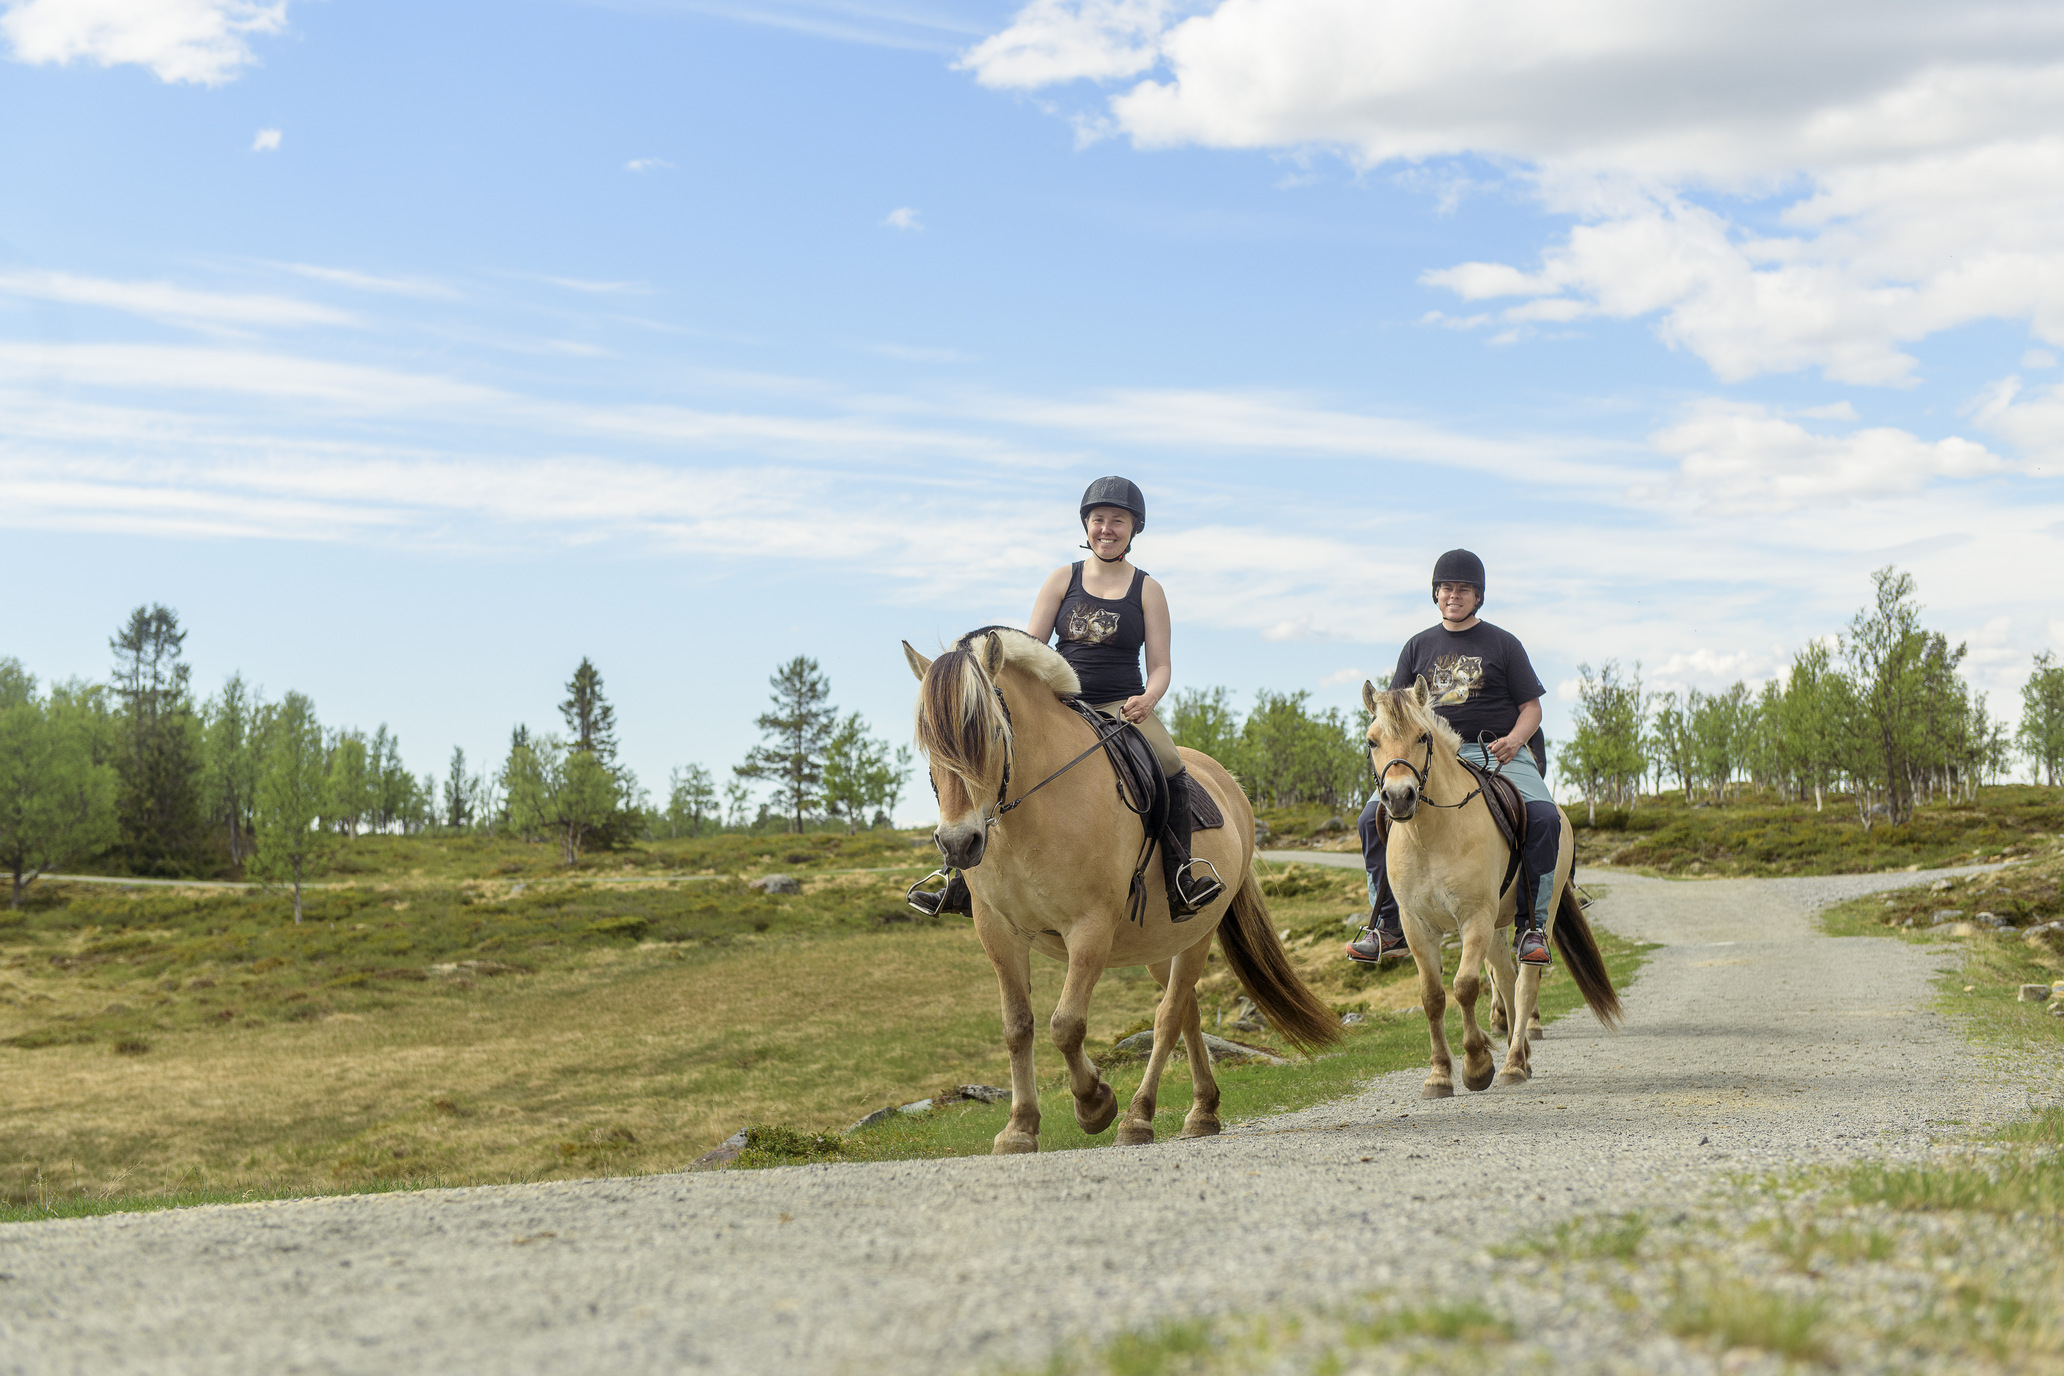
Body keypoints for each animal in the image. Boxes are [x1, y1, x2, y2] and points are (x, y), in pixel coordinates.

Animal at [908, 631, 1337, 1147]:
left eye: (992, 732)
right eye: (928, 743)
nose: (958, 844)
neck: (1030, 812)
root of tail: (1232, 786)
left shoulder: (1090, 927)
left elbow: (1066, 1025)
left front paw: (1095, 1103)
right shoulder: (998, 931)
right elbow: (1018, 1027)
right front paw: (1019, 1128)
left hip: (1197, 934)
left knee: (1169, 1016)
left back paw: (1138, 1116)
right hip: (1159, 945)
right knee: (1188, 1011)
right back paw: (1203, 1110)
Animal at [1362, 684, 1618, 1105]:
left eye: (1423, 737)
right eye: (1372, 741)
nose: (1399, 797)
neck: (1431, 834)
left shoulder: (1475, 918)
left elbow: (1465, 987)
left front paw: (1477, 1065)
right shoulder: (1416, 926)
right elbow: (1432, 996)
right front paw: (1439, 1074)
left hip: (1535, 918)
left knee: (1525, 981)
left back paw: (1514, 1063)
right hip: (1499, 924)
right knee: (1506, 975)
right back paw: (1521, 1054)